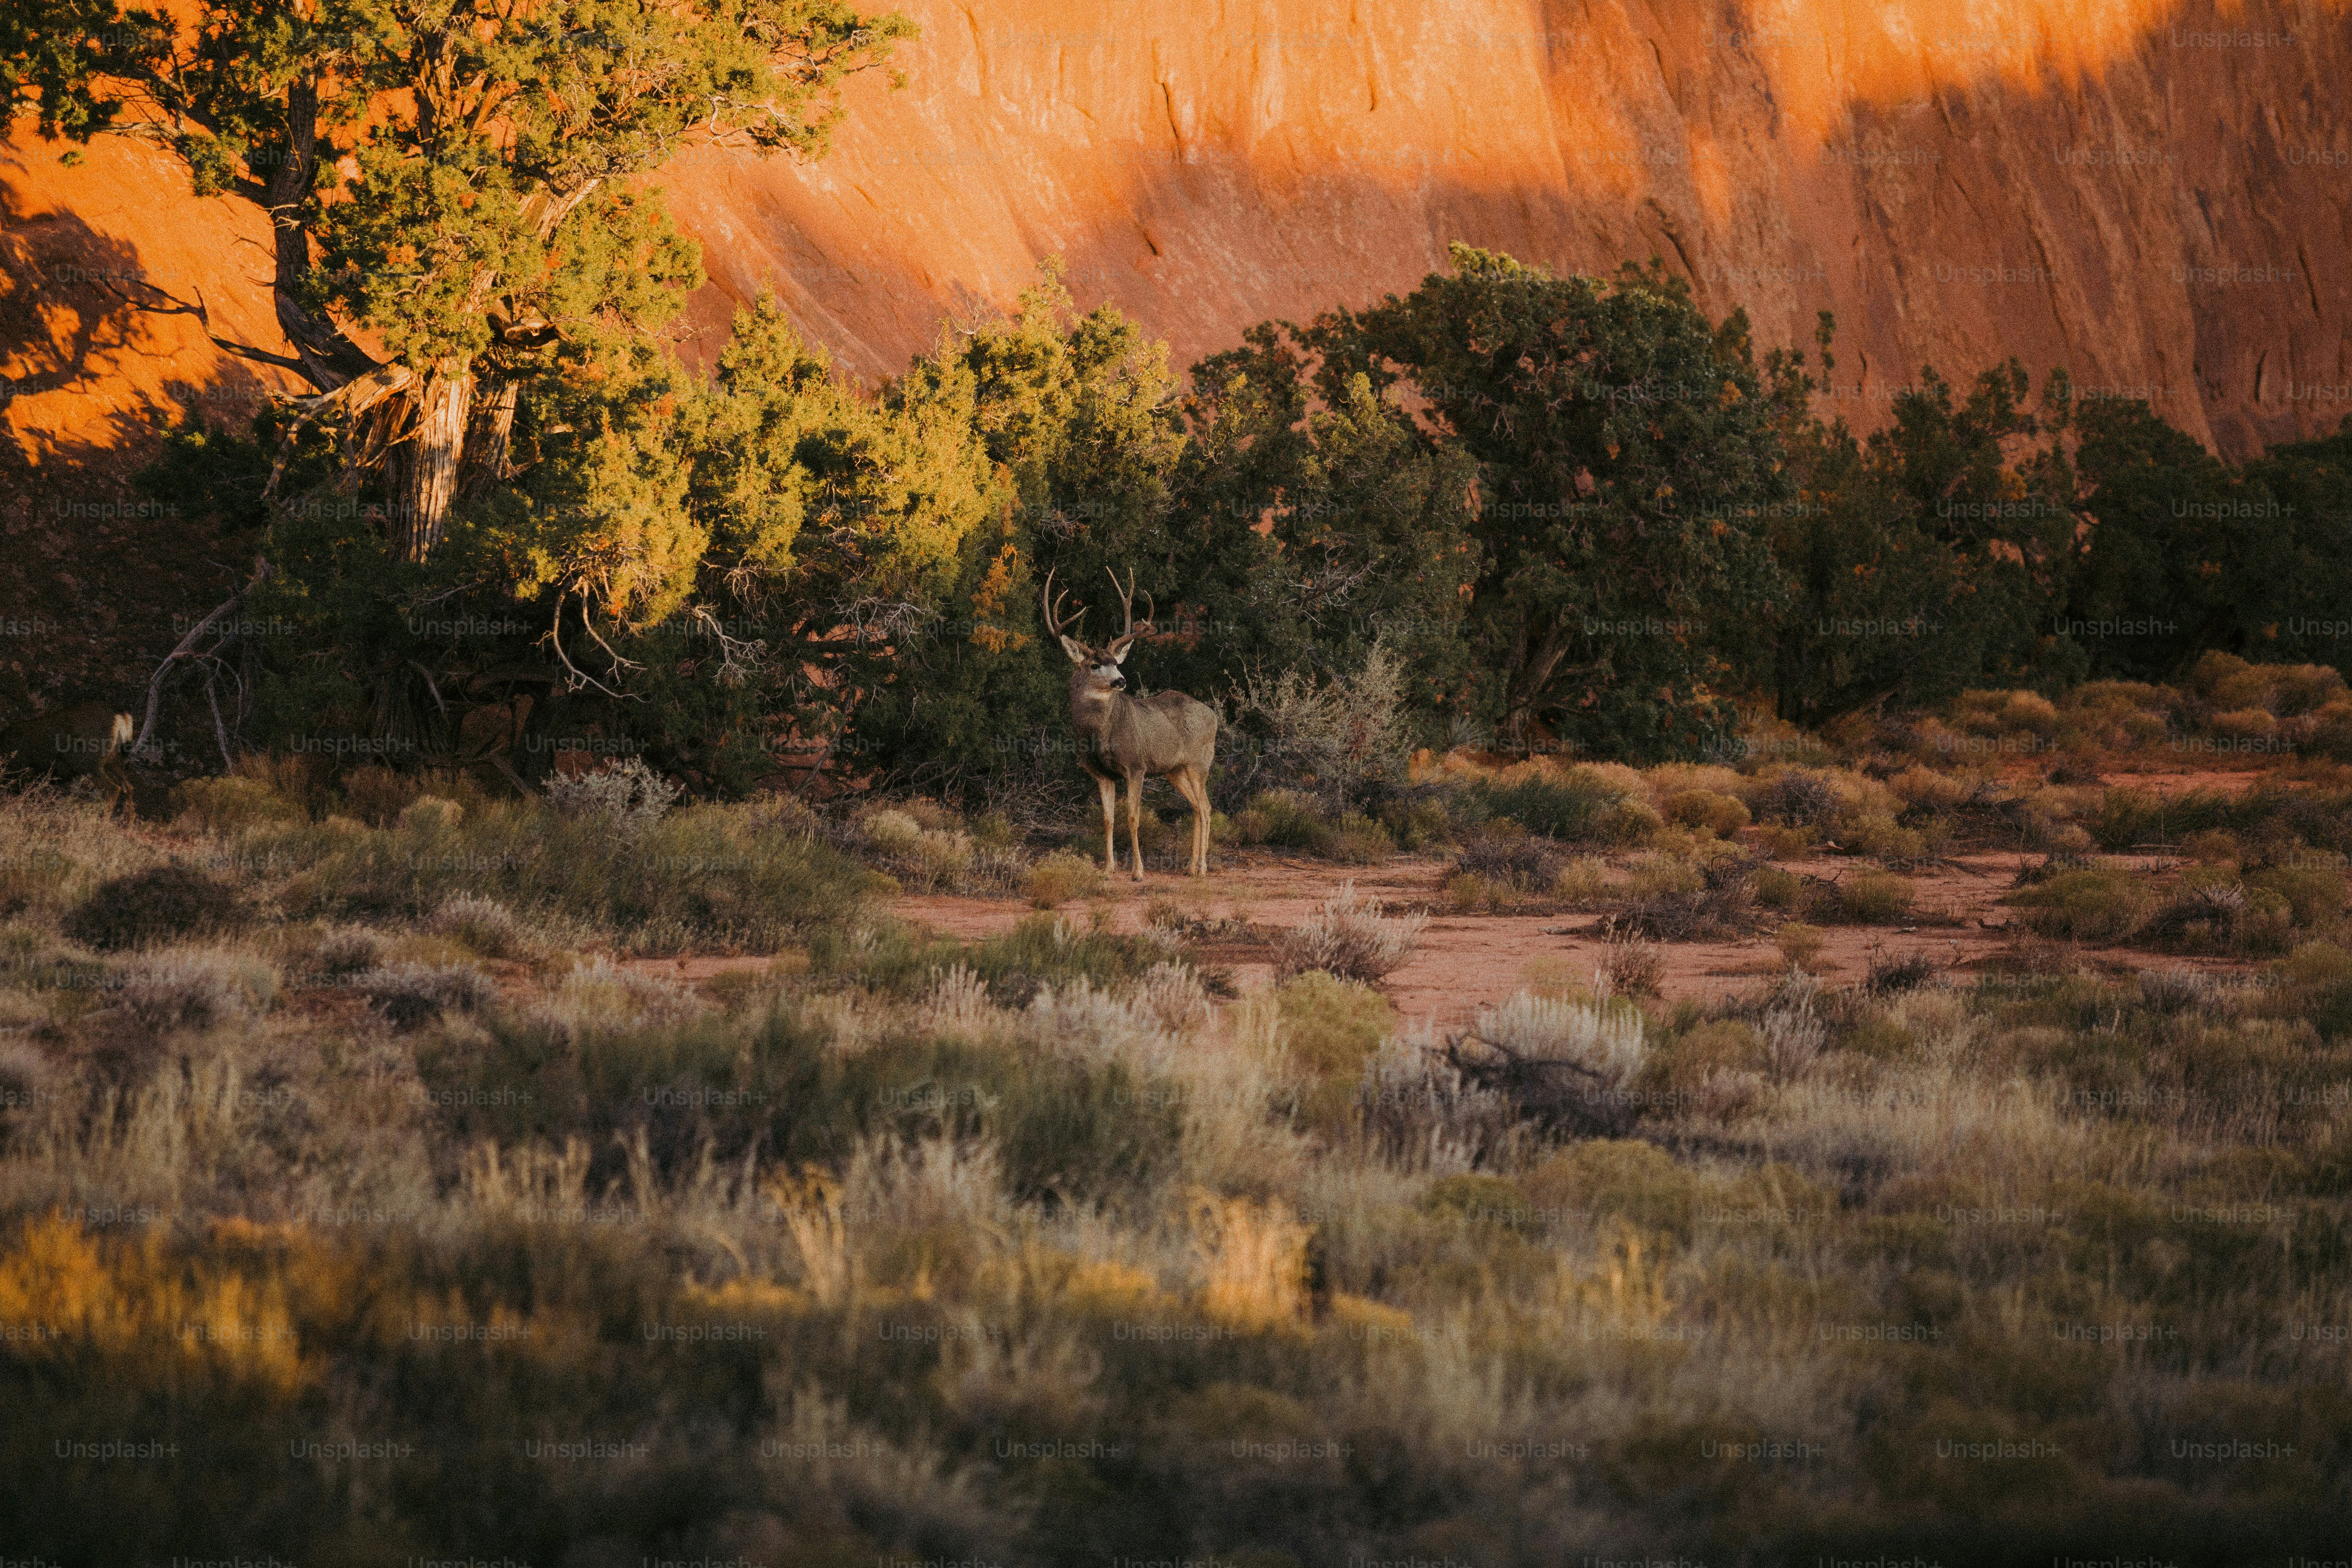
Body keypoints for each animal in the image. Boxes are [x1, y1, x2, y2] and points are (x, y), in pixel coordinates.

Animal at [0, 700, 136, 816]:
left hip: (91, 763)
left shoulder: (21, 770)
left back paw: (103, 821)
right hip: (112, 762)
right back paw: (128, 827)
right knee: (128, 787)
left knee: (114, 789)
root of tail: (121, 718)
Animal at [1042, 565, 1218, 880]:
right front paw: (1108, 869)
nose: (1121, 681)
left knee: (1207, 807)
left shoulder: (1136, 767)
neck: (1100, 735)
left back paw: (1201, 869)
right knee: (1197, 807)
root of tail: (1214, 716)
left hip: (1200, 762)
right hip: (1174, 769)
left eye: (1116, 662)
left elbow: (1134, 818)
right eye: (1095, 665)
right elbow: (1108, 820)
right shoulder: (1101, 774)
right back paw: (1189, 867)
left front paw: (1137, 872)